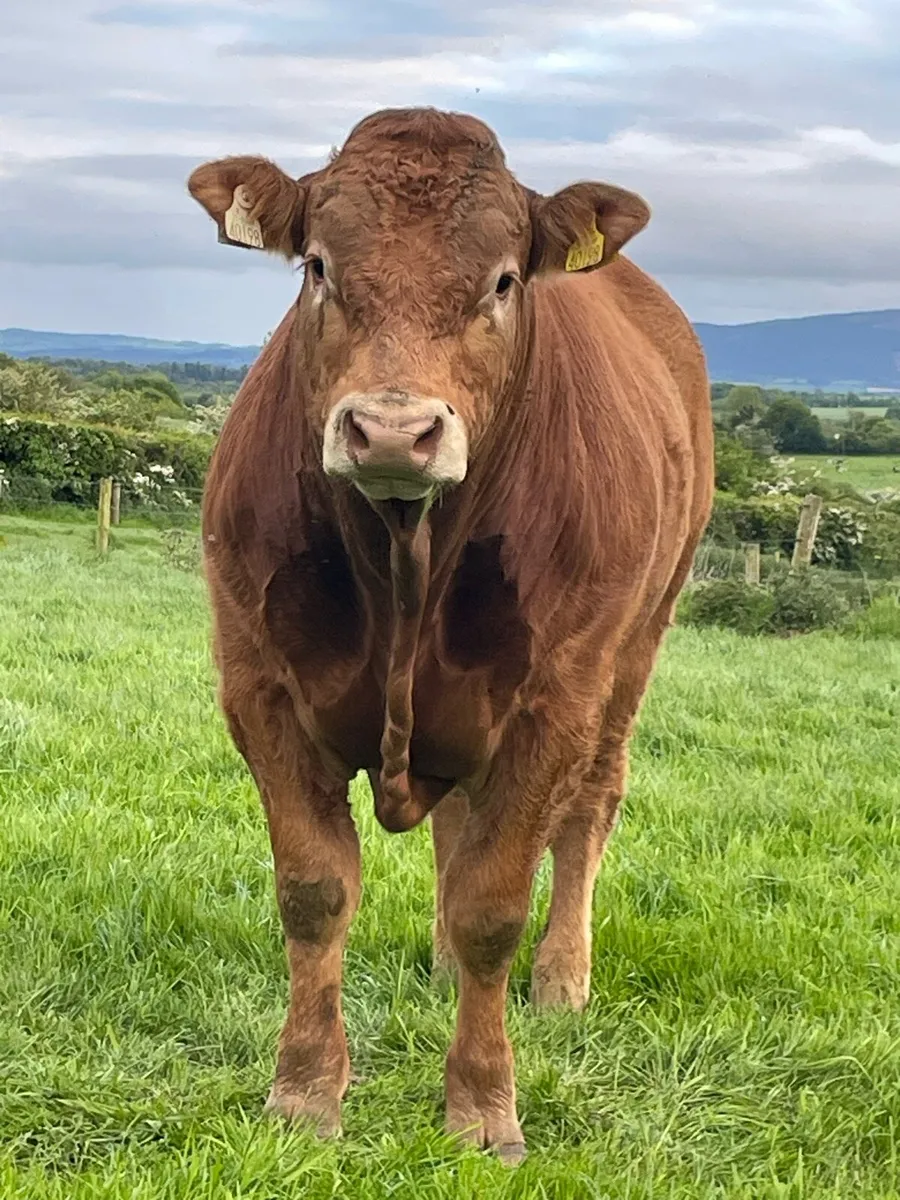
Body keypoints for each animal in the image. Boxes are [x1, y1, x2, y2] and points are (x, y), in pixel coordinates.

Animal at [187, 106, 713, 1164]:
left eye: (503, 281)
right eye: (318, 266)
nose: (393, 431)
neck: (403, 556)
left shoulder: (553, 706)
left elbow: (492, 908)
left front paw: (482, 1107)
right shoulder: (258, 687)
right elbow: (316, 891)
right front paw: (305, 1093)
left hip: (638, 645)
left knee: (590, 808)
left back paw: (561, 979)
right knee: (457, 823)